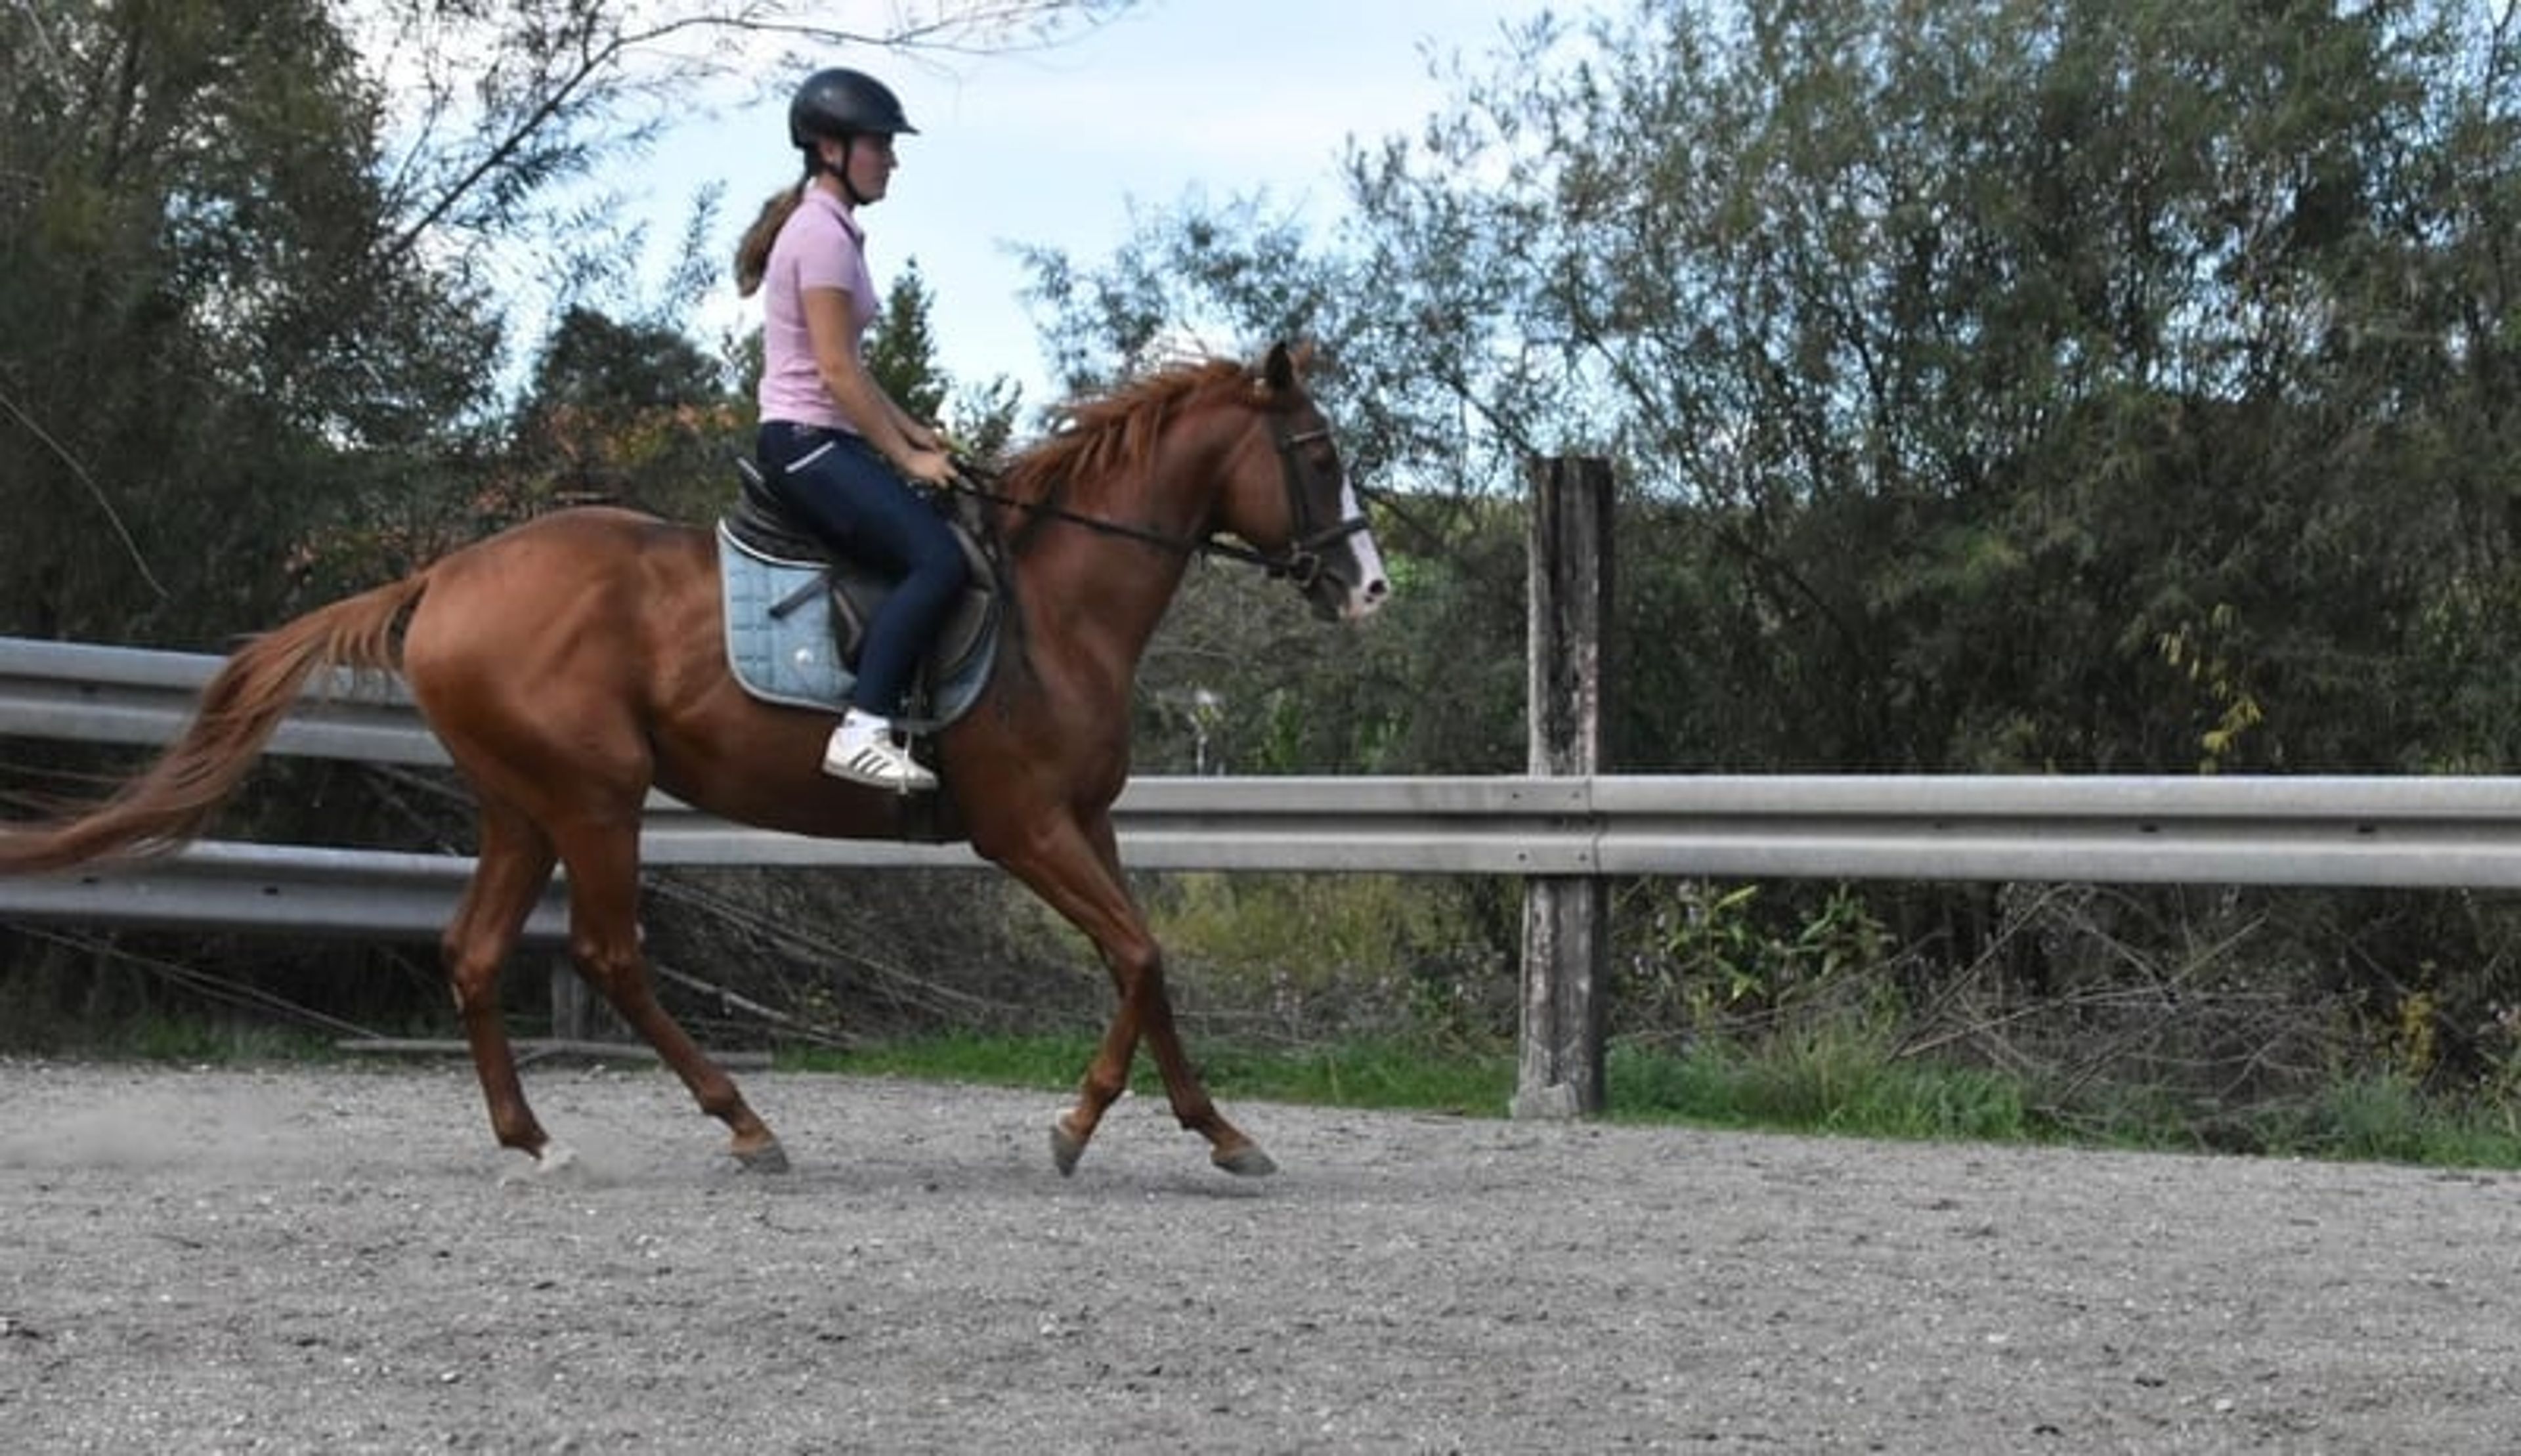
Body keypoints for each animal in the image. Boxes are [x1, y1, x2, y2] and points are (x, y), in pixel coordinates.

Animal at [0, 341, 1390, 1179]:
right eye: (1319, 455)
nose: (1371, 586)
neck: (1059, 603)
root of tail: (443, 574)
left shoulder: (1085, 824)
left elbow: (1142, 965)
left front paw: (1218, 1131)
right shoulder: (1024, 828)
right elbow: (1142, 957)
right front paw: (1076, 1126)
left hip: (522, 806)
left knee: (477, 952)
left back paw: (533, 1138)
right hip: (594, 797)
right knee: (609, 951)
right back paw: (743, 1120)